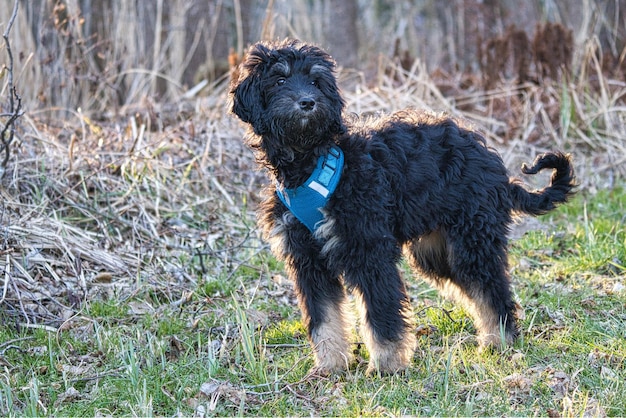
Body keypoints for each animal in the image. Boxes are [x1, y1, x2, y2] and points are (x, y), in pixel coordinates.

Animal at [228, 40, 572, 376]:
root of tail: (498, 170)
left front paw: (387, 365)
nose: (307, 102)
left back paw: (500, 341)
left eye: (315, 81)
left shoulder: (368, 249)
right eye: (280, 80)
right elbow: (324, 318)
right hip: (436, 251)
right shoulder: (308, 259)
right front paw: (330, 366)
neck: (310, 161)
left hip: (471, 239)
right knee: (481, 288)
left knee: (493, 289)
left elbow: (381, 315)